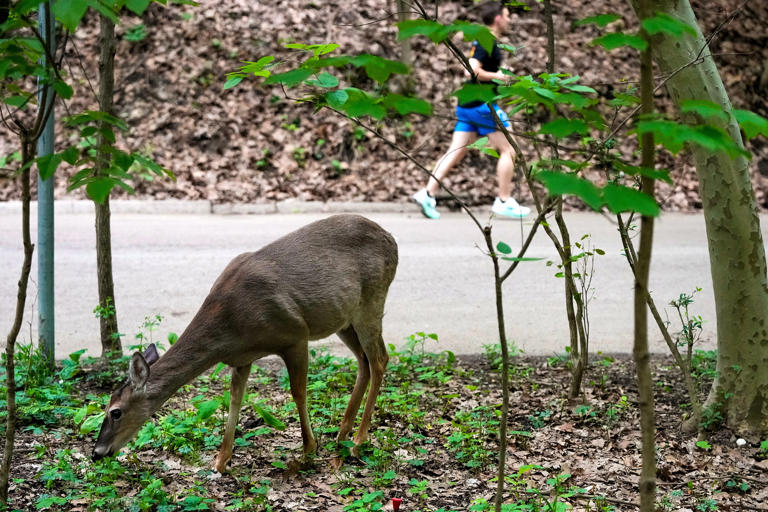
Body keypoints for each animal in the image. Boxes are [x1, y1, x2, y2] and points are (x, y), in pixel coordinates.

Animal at [91, 214, 398, 472]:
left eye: (115, 411)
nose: (97, 452)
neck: (232, 328)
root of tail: (392, 240)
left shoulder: (295, 334)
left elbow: (298, 392)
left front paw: (308, 449)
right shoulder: (242, 358)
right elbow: (235, 400)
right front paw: (220, 462)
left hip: (371, 300)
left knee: (380, 359)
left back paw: (357, 441)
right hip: (344, 319)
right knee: (364, 361)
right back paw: (343, 433)